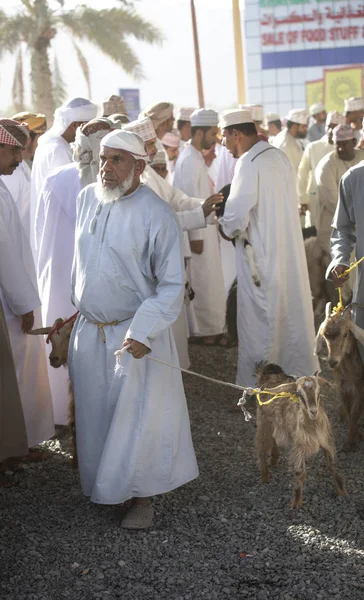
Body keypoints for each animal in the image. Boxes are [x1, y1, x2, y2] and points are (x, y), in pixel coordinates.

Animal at [255, 358, 346, 508]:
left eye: (319, 392)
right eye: (299, 394)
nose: (313, 411)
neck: (313, 426)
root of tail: (266, 375)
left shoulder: (325, 440)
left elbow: (331, 465)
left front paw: (341, 491)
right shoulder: (300, 446)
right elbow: (300, 472)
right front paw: (296, 502)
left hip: (275, 422)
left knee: (274, 438)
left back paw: (274, 458)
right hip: (264, 421)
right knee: (262, 445)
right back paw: (265, 476)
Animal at [314, 302, 364, 452]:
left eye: (346, 334)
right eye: (325, 335)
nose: (332, 362)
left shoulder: (360, 385)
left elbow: (354, 411)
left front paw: (350, 443)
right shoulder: (342, 384)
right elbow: (348, 407)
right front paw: (356, 436)